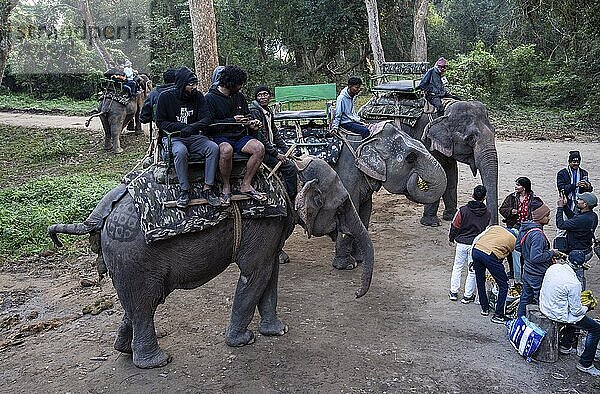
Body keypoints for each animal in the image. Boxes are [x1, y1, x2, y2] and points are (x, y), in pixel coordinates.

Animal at [48, 157, 376, 370]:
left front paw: (278, 331)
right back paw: (156, 362)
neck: (291, 168)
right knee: (144, 304)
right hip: (133, 255)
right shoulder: (265, 223)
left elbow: (270, 274)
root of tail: (98, 217)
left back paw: (124, 350)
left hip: (125, 261)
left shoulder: (271, 226)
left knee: (136, 304)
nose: (356, 294)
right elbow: (255, 273)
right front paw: (243, 341)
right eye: (342, 205)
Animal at [330, 122, 448, 270]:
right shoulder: (346, 174)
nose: (417, 177)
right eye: (411, 158)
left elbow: (365, 212)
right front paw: (347, 265)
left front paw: (361, 259)